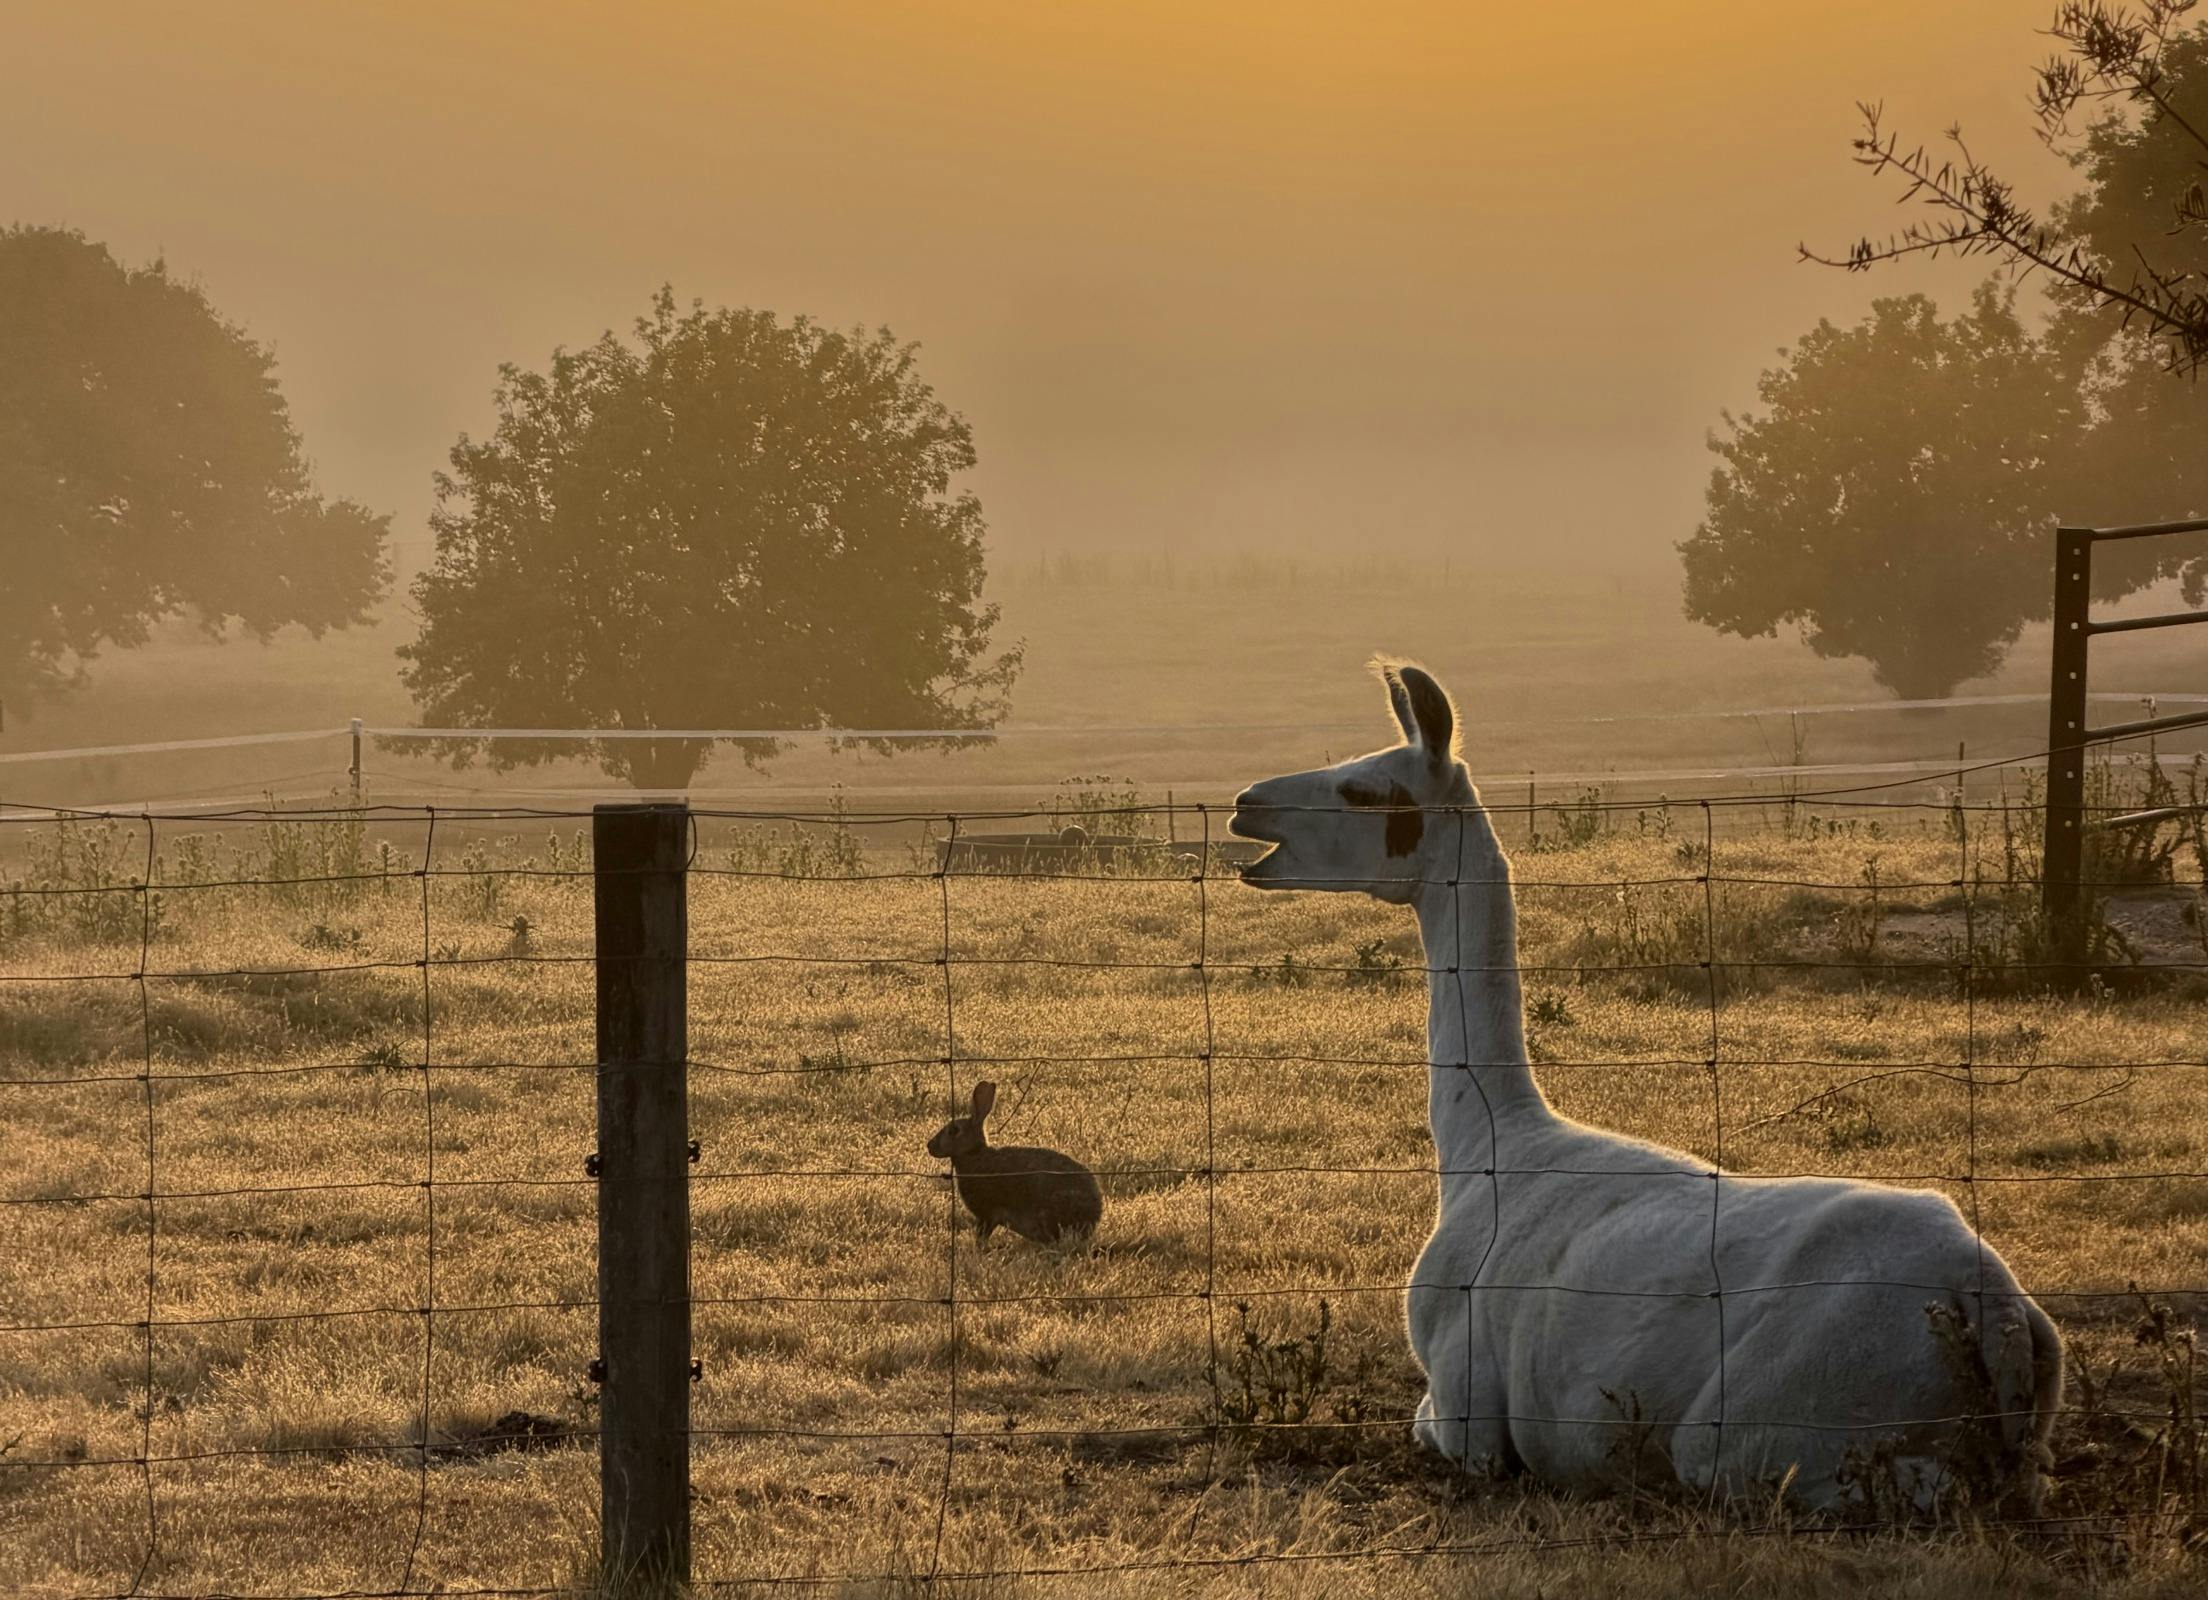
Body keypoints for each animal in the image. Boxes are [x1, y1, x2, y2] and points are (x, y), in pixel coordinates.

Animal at [925, 1080, 1101, 1247]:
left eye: (954, 1131)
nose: (930, 1146)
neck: (975, 1154)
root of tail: (1093, 1216)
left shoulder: (987, 1214)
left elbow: (983, 1235)